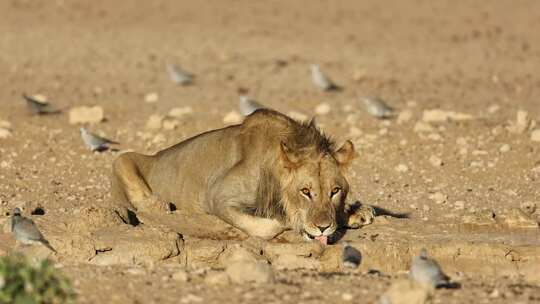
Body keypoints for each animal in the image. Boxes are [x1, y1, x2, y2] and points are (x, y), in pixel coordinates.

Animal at [109, 109, 372, 245]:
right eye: (305, 192)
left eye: (335, 191)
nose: (323, 228)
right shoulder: (217, 197)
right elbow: (267, 226)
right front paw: (289, 222)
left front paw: (355, 213)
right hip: (122, 159)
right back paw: (158, 205)